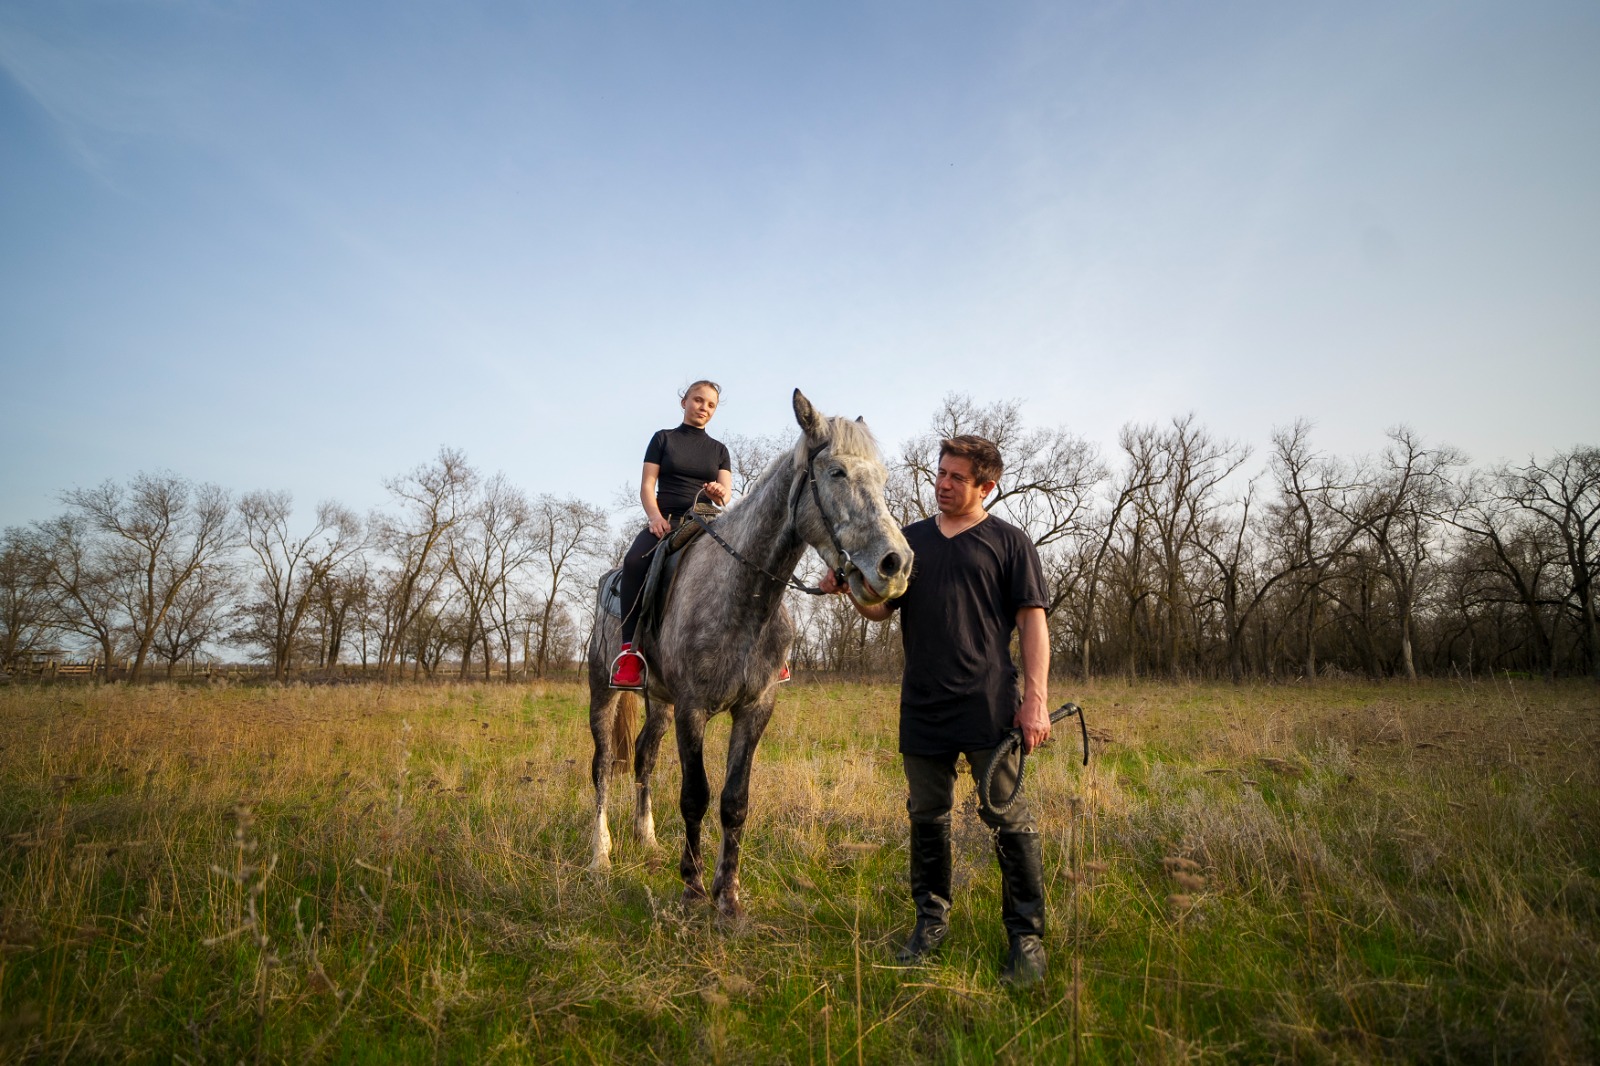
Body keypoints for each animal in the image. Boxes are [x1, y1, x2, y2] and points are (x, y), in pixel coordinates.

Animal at [588, 390, 915, 915]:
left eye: (883, 479)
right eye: (836, 473)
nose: (896, 565)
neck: (743, 594)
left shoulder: (755, 709)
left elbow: (734, 801)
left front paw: (729, 897)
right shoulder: (693, 709)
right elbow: (696, 796)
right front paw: (692, 889)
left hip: (659, 702)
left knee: (644, 758)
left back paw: (647, 839)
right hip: (604, 690)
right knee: (601, 765)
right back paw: (600, 854)